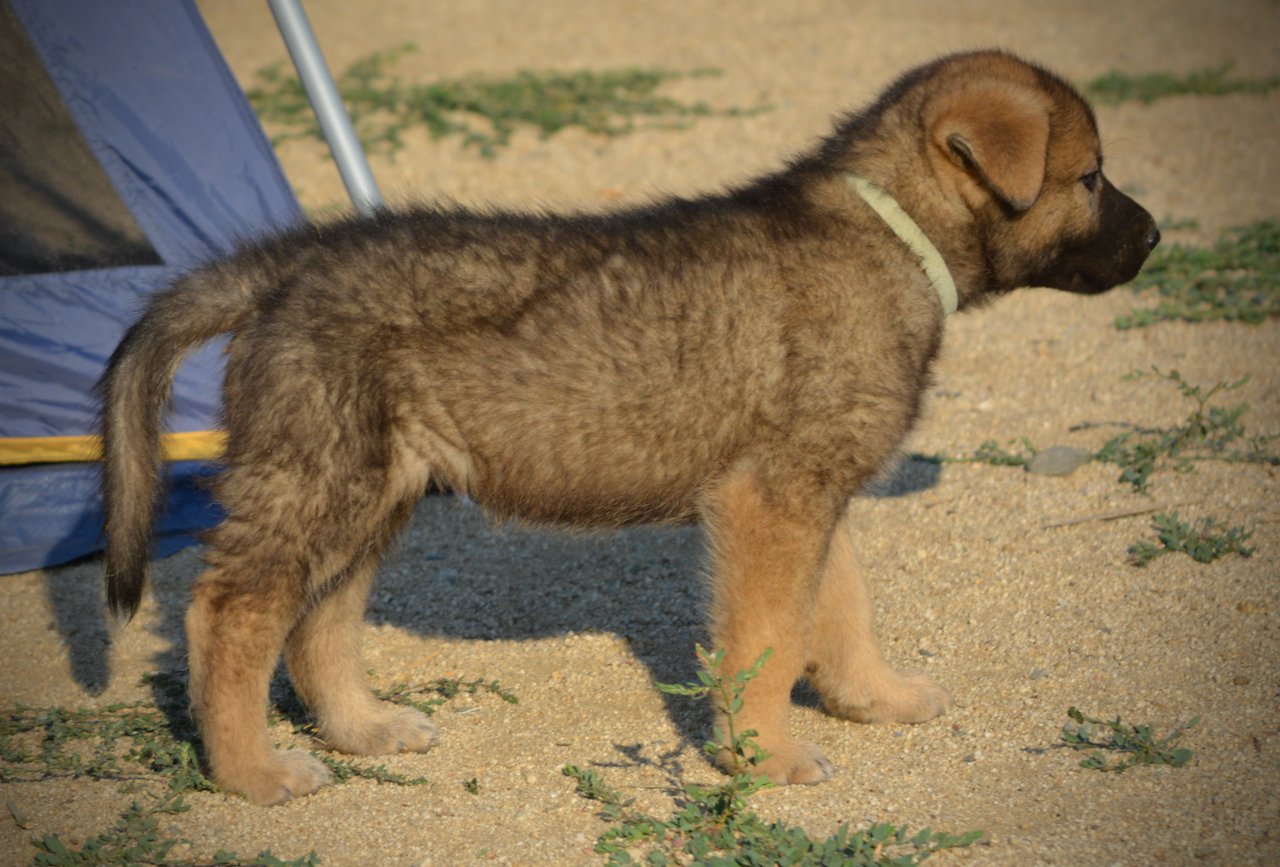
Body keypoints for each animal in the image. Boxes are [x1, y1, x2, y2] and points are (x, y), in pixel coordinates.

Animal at [99, 48, 1162, 804]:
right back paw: (253, 773)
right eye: (1091, 179)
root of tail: (289, 264)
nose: (1157, 237)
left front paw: (872, 698)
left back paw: (361, 729)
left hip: (371, 491)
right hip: (319, 478)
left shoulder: (810, 487)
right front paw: (763, 756)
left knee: (320, 618)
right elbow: (768, 637)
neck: (889, 229)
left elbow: (839, 611)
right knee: (231, 612)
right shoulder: (771, 501)